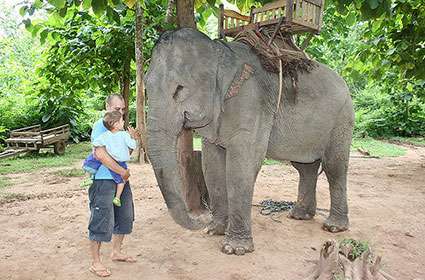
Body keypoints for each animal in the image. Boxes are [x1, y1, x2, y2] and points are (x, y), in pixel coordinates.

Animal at [144, 28, 352, 256]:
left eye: (179, 89)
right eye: (145, 87)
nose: (201, 220)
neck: (220, 50)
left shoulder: (251, 102)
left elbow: (241, 166)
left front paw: (234, 249)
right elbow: (212, 165)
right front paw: (214, 231)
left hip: (342, 119)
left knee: (334, 167)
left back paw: (333, 227)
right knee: (305, 167)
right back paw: (299, 215)